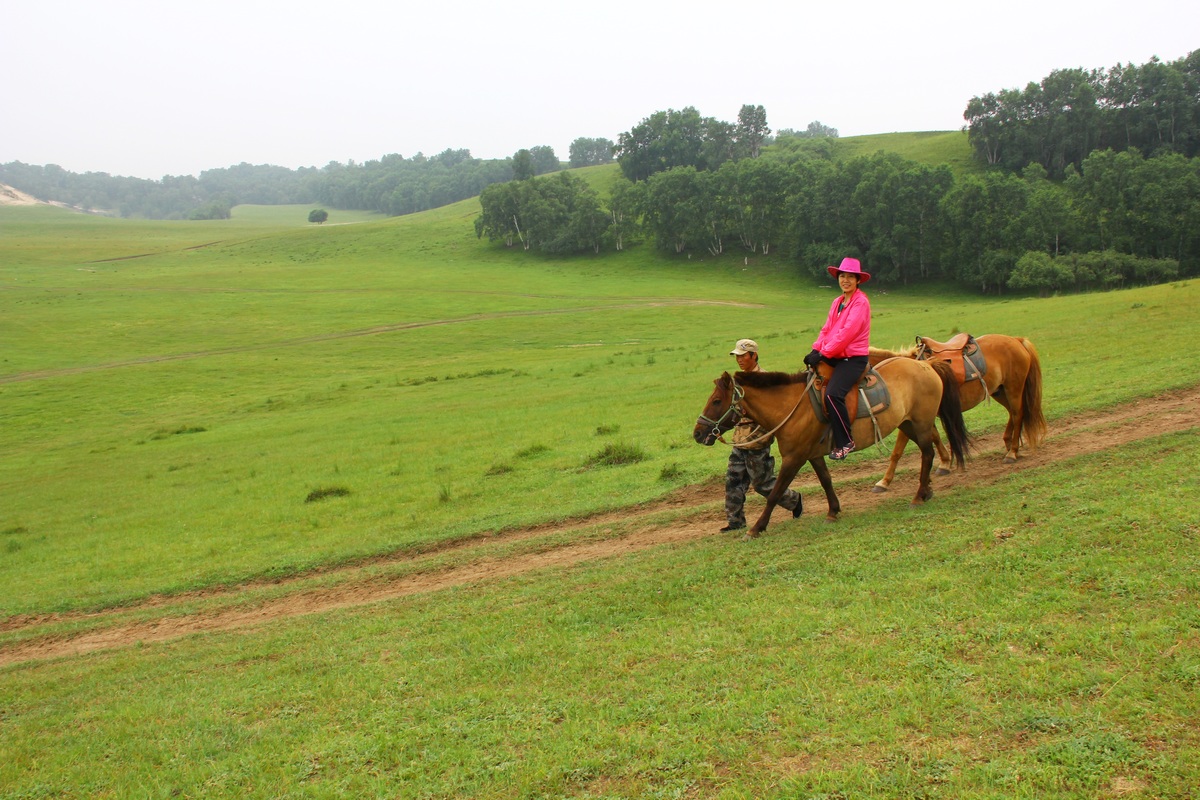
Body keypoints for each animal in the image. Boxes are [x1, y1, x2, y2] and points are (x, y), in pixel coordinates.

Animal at [691, 359, 969, 542]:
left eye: (717, 401)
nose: (697, 433)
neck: (791, 407)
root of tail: (926, 365)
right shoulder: (813, 455)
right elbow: (826, 481)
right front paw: (833, 511)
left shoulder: (794, 458)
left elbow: (775, 493)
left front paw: (756, 528)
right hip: (908, 424)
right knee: (927, 453)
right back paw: (926, 490)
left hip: (920, 424)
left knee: (928, 454)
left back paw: (919, 495)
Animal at [868, 333, 1046, 494]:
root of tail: (1016, 340)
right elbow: (935, 437)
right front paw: (945, 463)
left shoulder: (909, 419)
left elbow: (897, 451)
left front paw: (884, 481)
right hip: (999, 391)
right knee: (1012, 414)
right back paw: (1008, 443)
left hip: (1013, 389)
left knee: (1017, 414)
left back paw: (1012, 452)